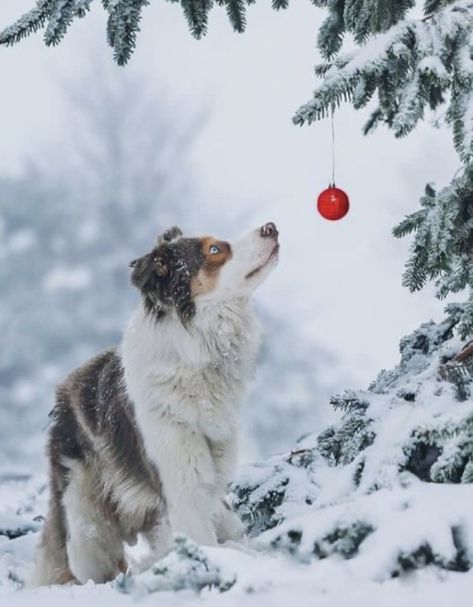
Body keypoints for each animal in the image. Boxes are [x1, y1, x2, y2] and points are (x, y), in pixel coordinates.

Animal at [31, 221, 278, 588]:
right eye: (214, 250)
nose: (271, 227)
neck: (196, 353)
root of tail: (64, 391)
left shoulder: (212, 464)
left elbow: (226, 522)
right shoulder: (181, 479)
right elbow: (202, 539)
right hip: (84, 522)